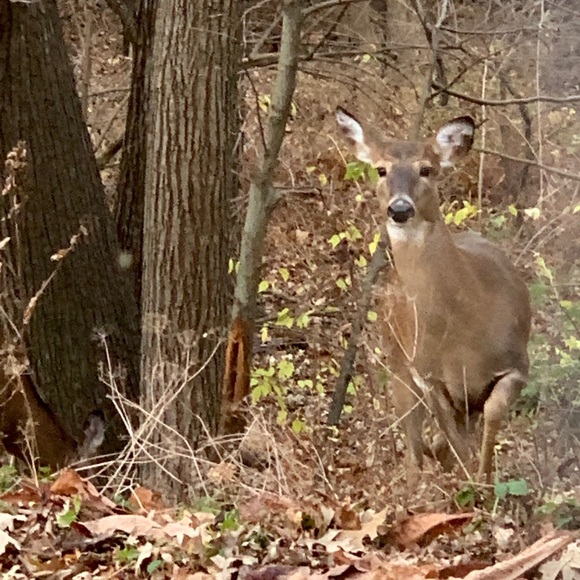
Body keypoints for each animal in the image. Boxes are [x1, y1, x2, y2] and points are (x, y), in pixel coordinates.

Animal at [336, 107, 532, 480]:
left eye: (426, 169)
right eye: (381, 169)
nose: (400, 209)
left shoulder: (516, 364)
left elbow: (491, 415)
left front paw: (484, 483)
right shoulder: (430, 377)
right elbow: (453, 442)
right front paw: (472, 484)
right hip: (397, 361)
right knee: (413, 442)